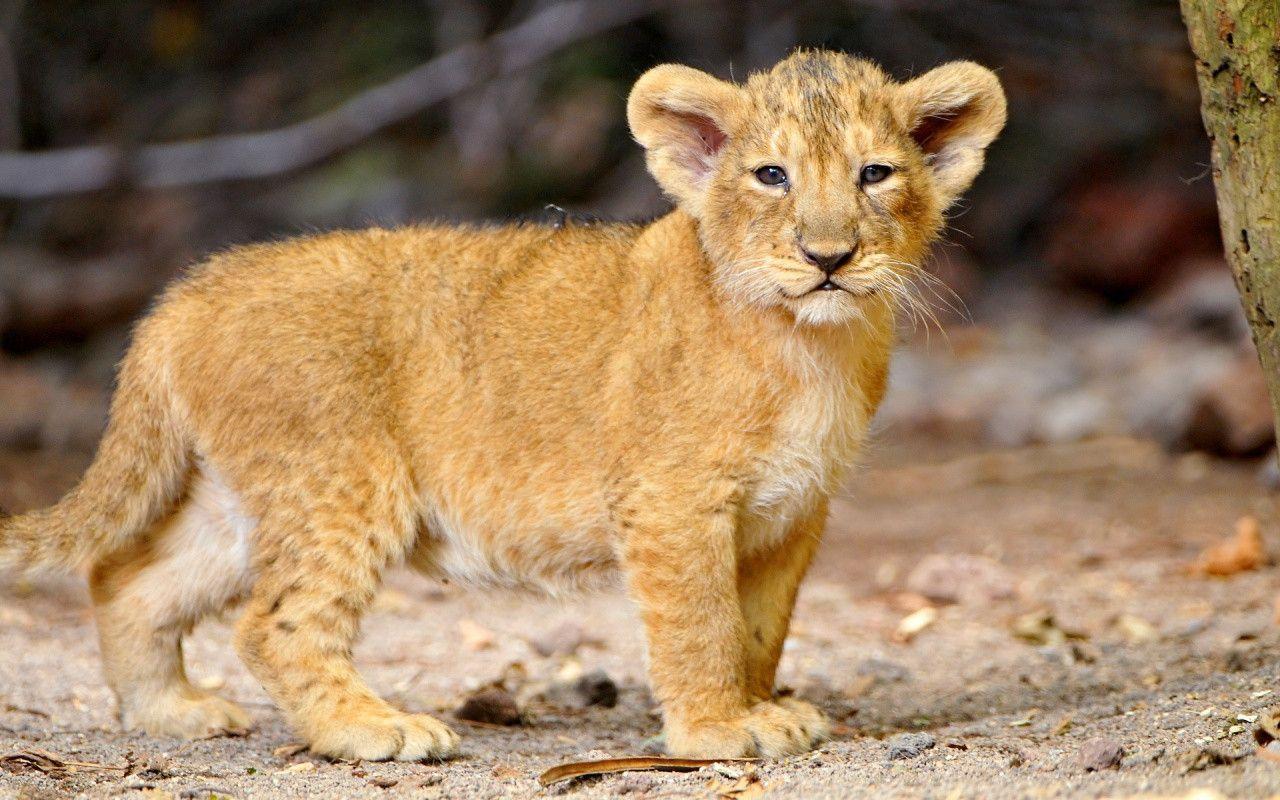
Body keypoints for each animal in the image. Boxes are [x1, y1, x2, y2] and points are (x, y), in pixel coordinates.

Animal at [0, 49, 1005, 760]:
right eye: (771, 177)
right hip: (340, 479)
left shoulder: (792, 512)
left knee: (128, 580)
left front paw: (760, 707)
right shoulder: (672, 502)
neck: (810, 346)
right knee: (274, 625)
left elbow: (758, 629)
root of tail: (186, 295)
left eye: (875, 174)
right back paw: (375, 731)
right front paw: (717, 731)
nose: (828, 256)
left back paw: (169, 711)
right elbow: (700, 624)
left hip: (246, 496)